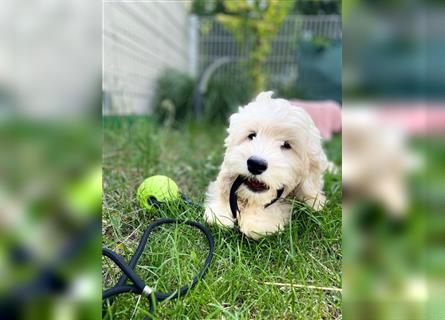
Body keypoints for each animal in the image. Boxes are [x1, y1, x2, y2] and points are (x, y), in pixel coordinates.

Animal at [205, 91, 326, 239]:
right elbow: (223, 190)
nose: (256, 164)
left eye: (286, 145)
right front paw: (220, 213)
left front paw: (258, 222)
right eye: (252, 135)